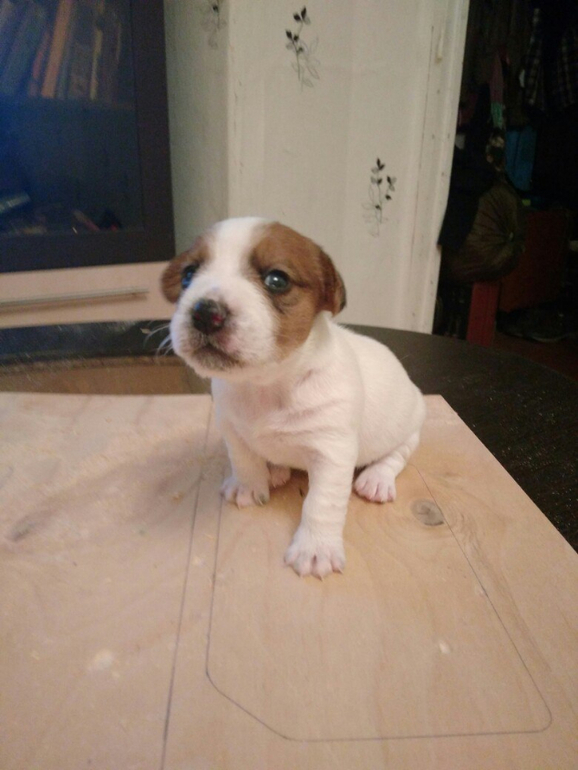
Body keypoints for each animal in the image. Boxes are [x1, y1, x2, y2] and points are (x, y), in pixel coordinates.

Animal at [161, 217, 426, 579]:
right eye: (189, 274)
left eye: (277, 280)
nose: (204, 313)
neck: (265, 386)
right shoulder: (232, 430)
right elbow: (244, 461)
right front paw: (249, 485)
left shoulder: (333, 452)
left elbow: (321, 503)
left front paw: (316, 548)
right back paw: (275, 469)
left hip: (408, 426)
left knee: (397, 454)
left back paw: (376, 479)